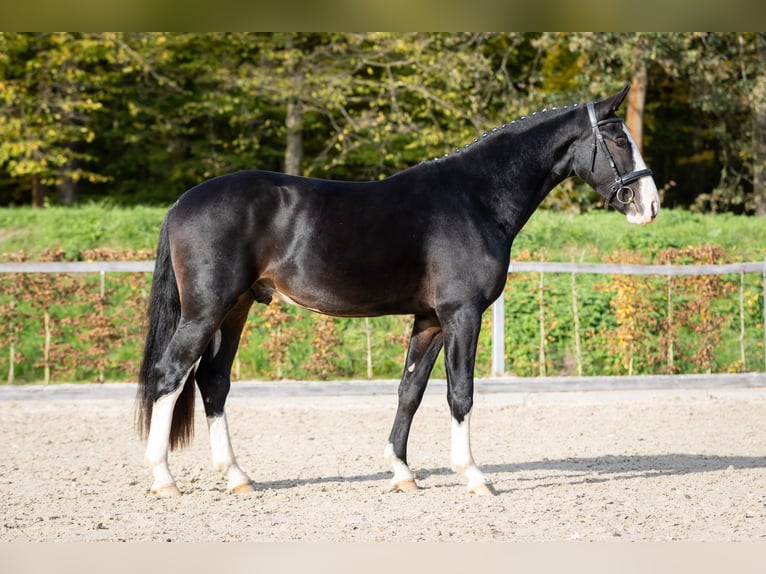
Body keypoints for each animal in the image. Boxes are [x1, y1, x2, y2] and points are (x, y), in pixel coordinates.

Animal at [136, 85, 660, 500]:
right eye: (618, 139)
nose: (650, 205)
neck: (476, 198)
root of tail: (181, 202)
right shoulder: (462, 313)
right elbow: (460, 393)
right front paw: (474, 475)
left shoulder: (429, 320)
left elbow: (411, 391)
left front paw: (402, 473)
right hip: (206, 310)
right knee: (170, 375)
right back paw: (163, 479)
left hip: (236, 308)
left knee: (213, 382)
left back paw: (238, 477)